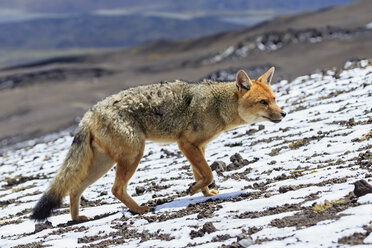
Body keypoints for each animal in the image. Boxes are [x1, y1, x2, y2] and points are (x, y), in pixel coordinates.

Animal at [32, 66, 286, 221]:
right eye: (263, 102)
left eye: (274, 99)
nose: (283, 113)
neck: (218, 105)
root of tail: (90, 112)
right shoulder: (186, 144)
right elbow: (207, 172)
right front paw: (194, 189)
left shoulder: (198, 147)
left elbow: (202, 173)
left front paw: (204, 192)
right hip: (133, 155)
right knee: (115, 189)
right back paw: (139, 209)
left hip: (104, 164)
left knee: (75, 188)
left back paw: (76, 219)